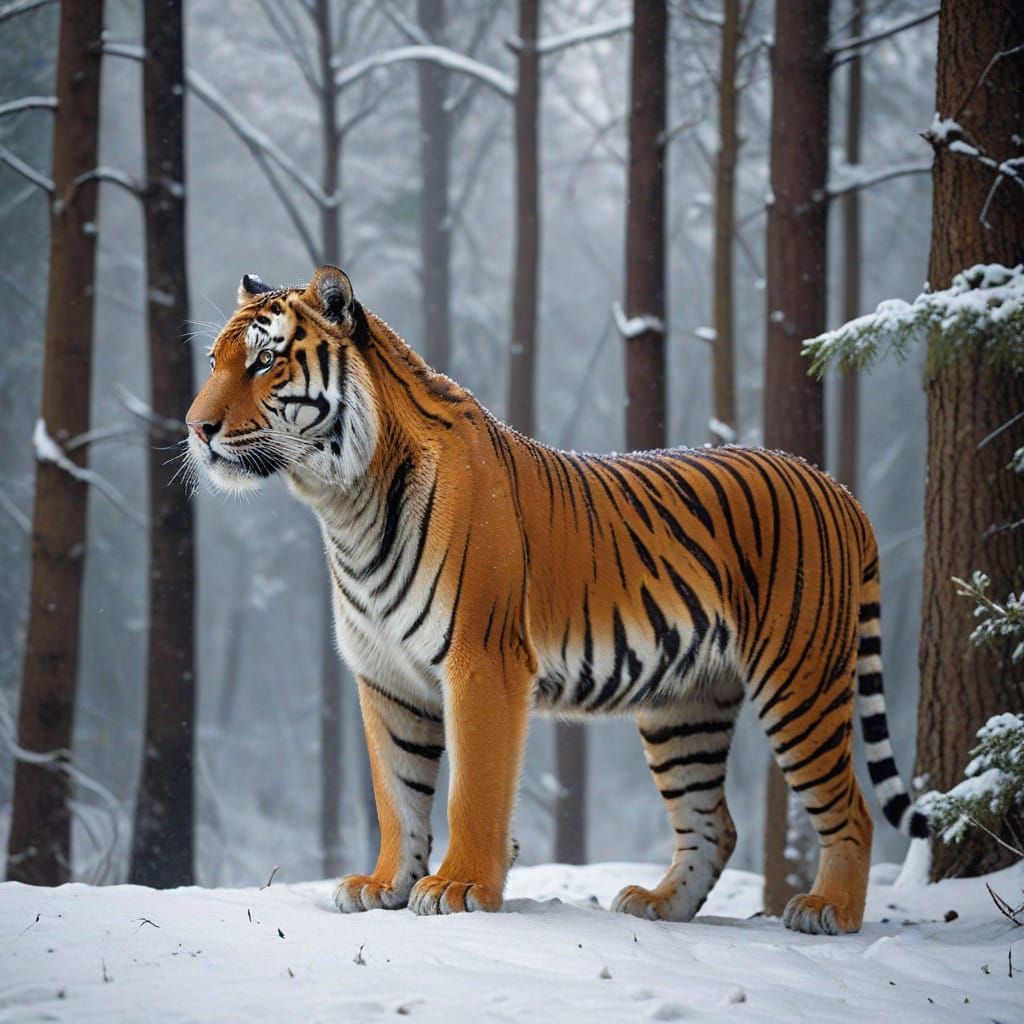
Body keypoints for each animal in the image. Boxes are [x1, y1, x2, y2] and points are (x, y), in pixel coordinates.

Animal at [185, 265, 928, 935]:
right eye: (215, 361)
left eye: (263, 362)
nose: (195, 428)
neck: (345, 504)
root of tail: (838, 489)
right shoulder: (385, 676)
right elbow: (396, 794)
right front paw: (382, 885)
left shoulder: (482, 662)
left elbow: (472, 789)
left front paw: (457, 888)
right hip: (685, 706)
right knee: (714, 822)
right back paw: (660, 905)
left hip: (798, 680)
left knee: (850, 809)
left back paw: (828, 911)